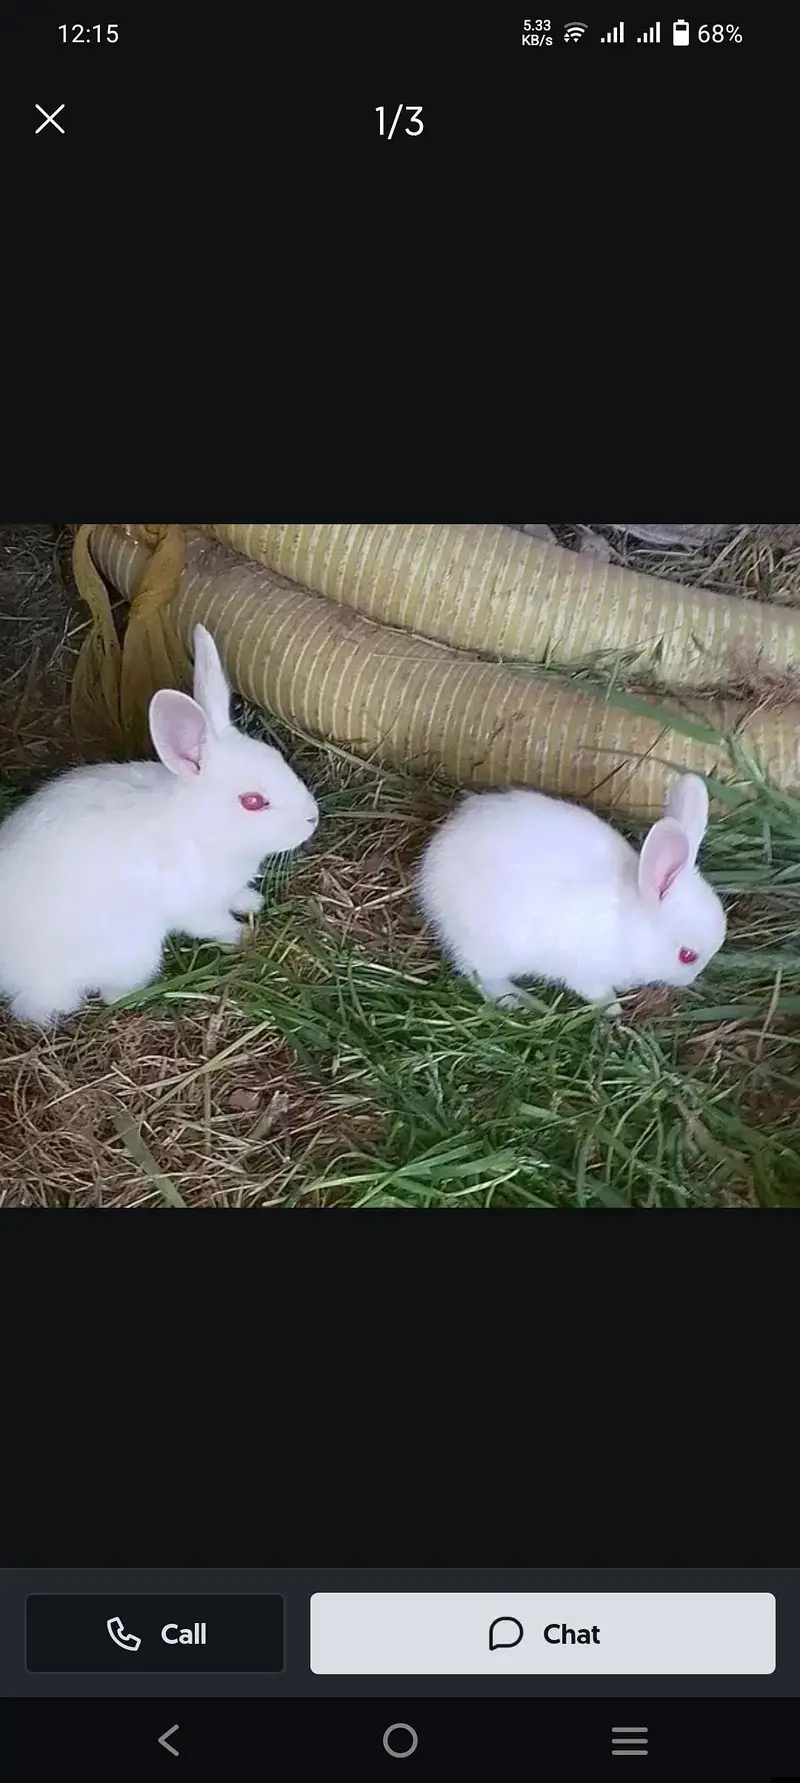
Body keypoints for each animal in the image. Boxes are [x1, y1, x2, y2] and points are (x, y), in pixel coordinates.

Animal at [0, 625, 319, 1026]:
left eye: (278, 758)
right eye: (252, 802)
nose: (313, 818)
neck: (197, 829)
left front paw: (253, 903)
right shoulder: (195, 908)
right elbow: (214, 925)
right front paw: (242, 936)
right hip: (134, 951)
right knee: (103, 995)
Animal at [415, 773, 726, 1015]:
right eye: (687, 956)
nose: (690, 980)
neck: (632, 926)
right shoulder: (586, 974)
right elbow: (597, 993)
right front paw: (613, 1008)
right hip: (491, 947)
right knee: (480, 976)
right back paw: (521, 1002)